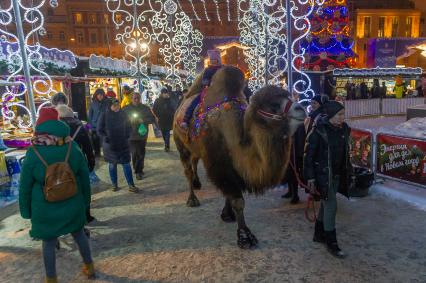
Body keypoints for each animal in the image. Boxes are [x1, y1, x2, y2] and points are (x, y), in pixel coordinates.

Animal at [173, 66, 306, 248]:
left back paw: (197, 183)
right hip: (181, 144)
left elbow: (230, 194)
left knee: (194, 162)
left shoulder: (231, 165)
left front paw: (227, 214)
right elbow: (237, 200)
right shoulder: (219, 164)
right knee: (187, 170)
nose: (302, 109)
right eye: (273, 105)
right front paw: (245, 236)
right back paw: (192, 199)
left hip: (194, 148)